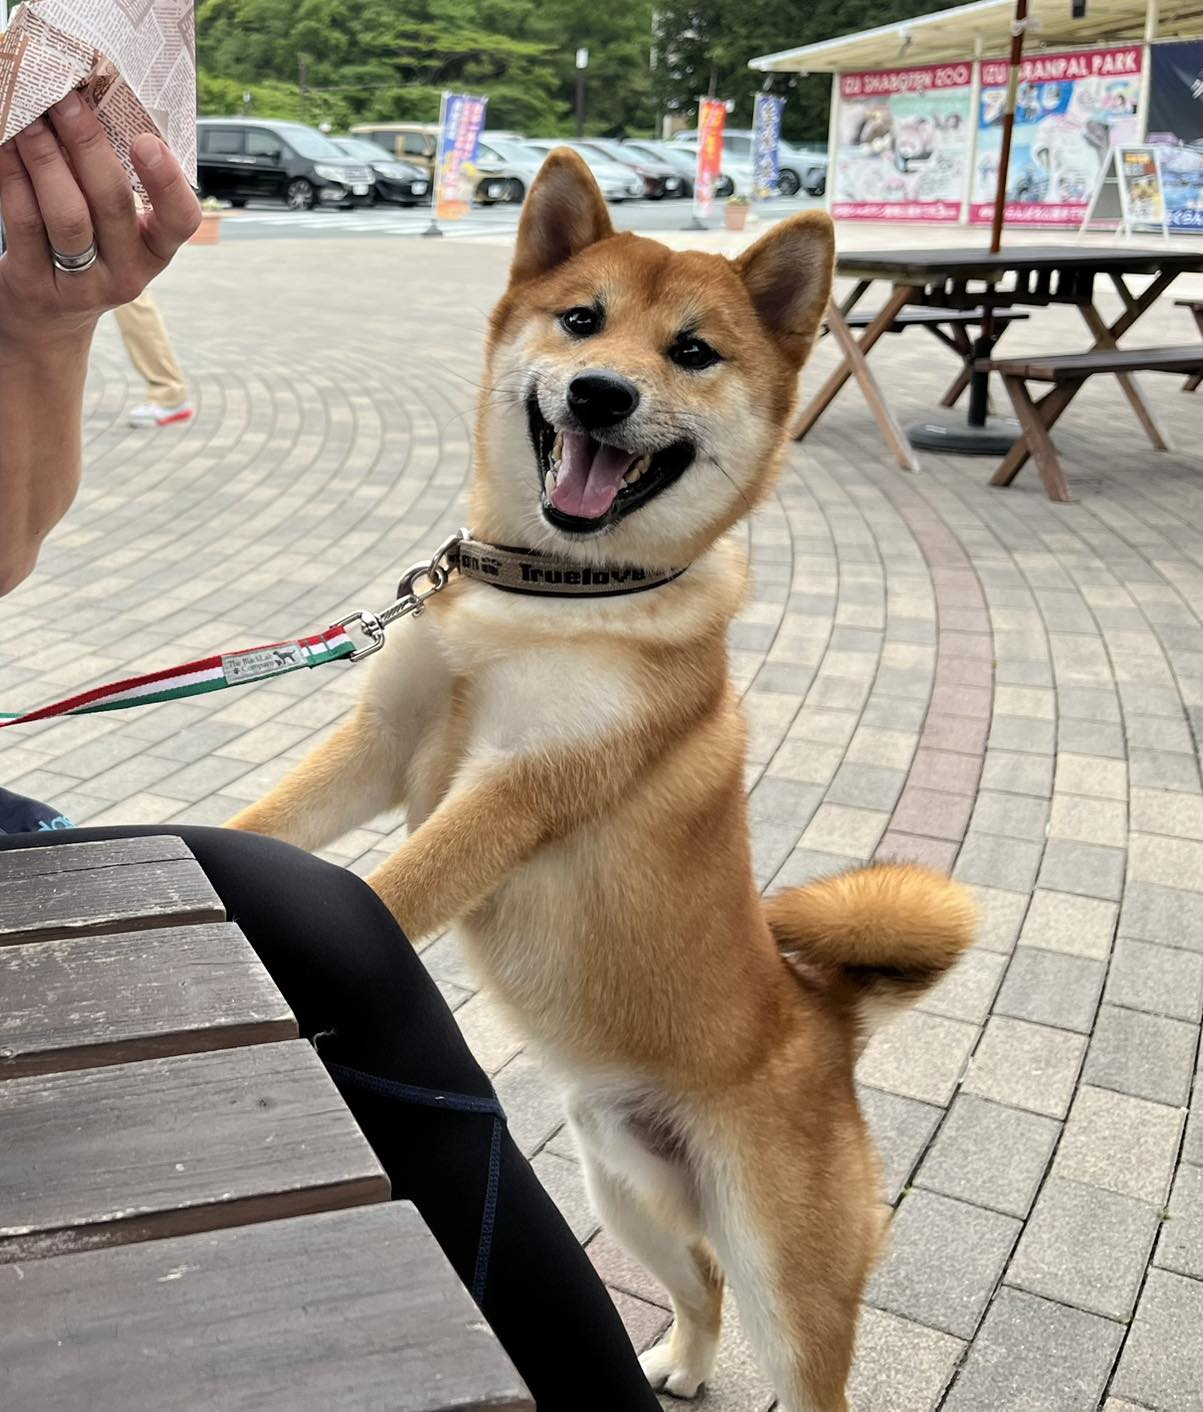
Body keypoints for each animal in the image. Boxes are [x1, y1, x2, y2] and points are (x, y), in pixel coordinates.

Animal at [227, 151, 977, 1412]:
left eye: (694, 351)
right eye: (582, 321)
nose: (599, 396)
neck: (546, 593)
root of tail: (825, 1015)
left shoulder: (523, 787)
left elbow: (389, 889)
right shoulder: (384, 741)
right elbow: (266, 820)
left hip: (789, 1275)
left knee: (793, 1348)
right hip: (623, 1188)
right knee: (699, 1283)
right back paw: (676, 1361)